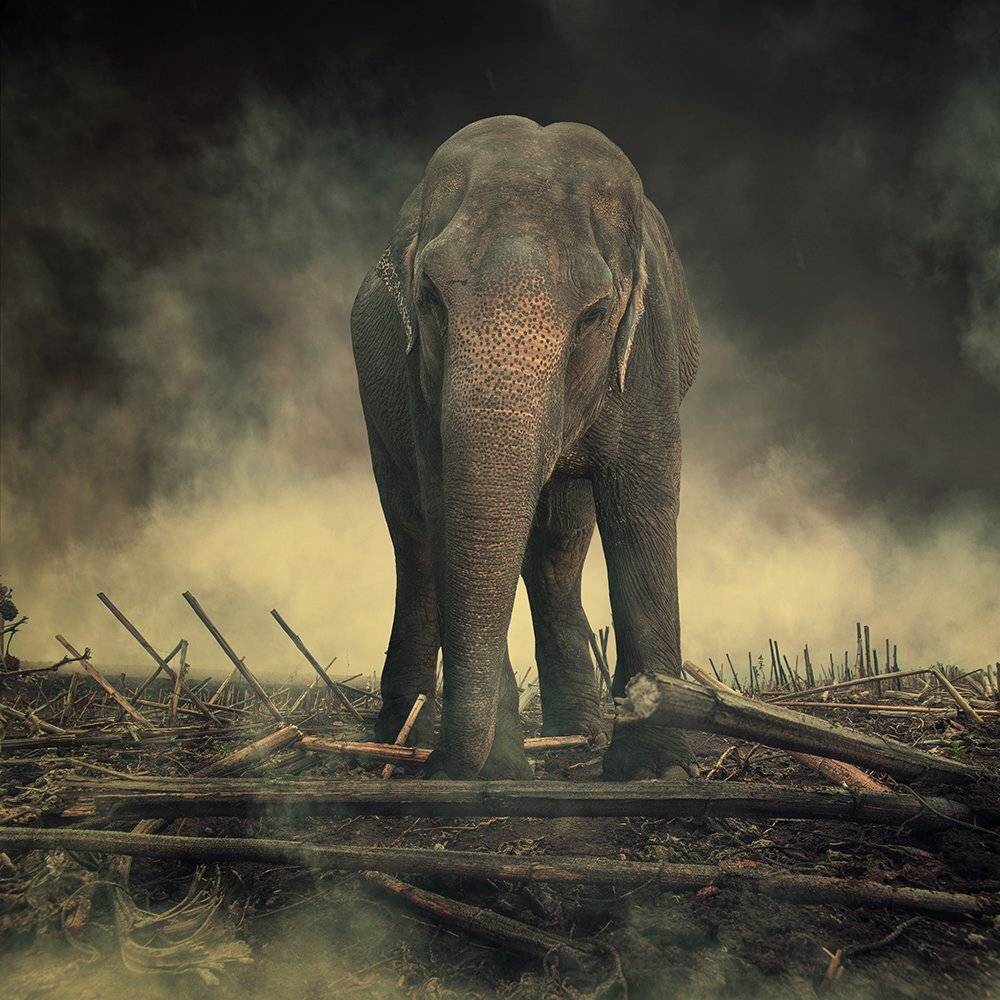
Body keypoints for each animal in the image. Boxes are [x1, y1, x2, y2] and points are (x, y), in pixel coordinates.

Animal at [350, 116, 699, 780]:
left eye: (594, 315)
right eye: (430, 298)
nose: (444, 767)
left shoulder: (650, 354)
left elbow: (641, 508)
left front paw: (654, 768)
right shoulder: (419, 380)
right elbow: (444, 507)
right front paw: (501, 770)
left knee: (560, 543)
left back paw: (578, 734)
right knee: (412, 537)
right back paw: (403, 734)